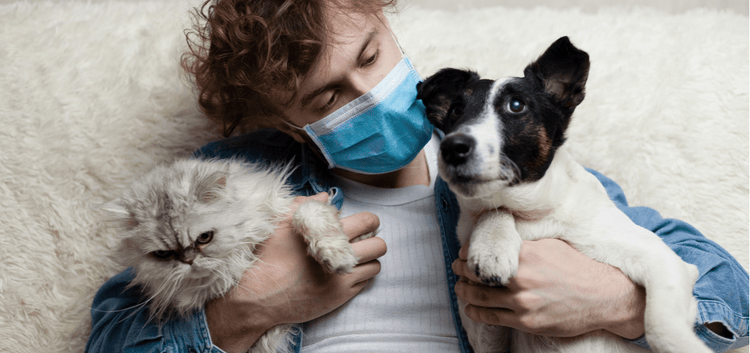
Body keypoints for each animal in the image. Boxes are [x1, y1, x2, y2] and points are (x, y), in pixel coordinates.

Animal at [103, 158, 364, 350]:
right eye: (162, 254)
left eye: (204, 238)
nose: (189, 261)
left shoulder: (289, 208)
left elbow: (308, 213)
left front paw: (338, 256)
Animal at [418, 36, 716, 352]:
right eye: (455, 111)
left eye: (516, 105)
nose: (452, 148)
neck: (534, 216)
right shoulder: (485, 331)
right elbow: (495, 212)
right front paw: (492, 246)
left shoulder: (663, 261)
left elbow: (661, 327)